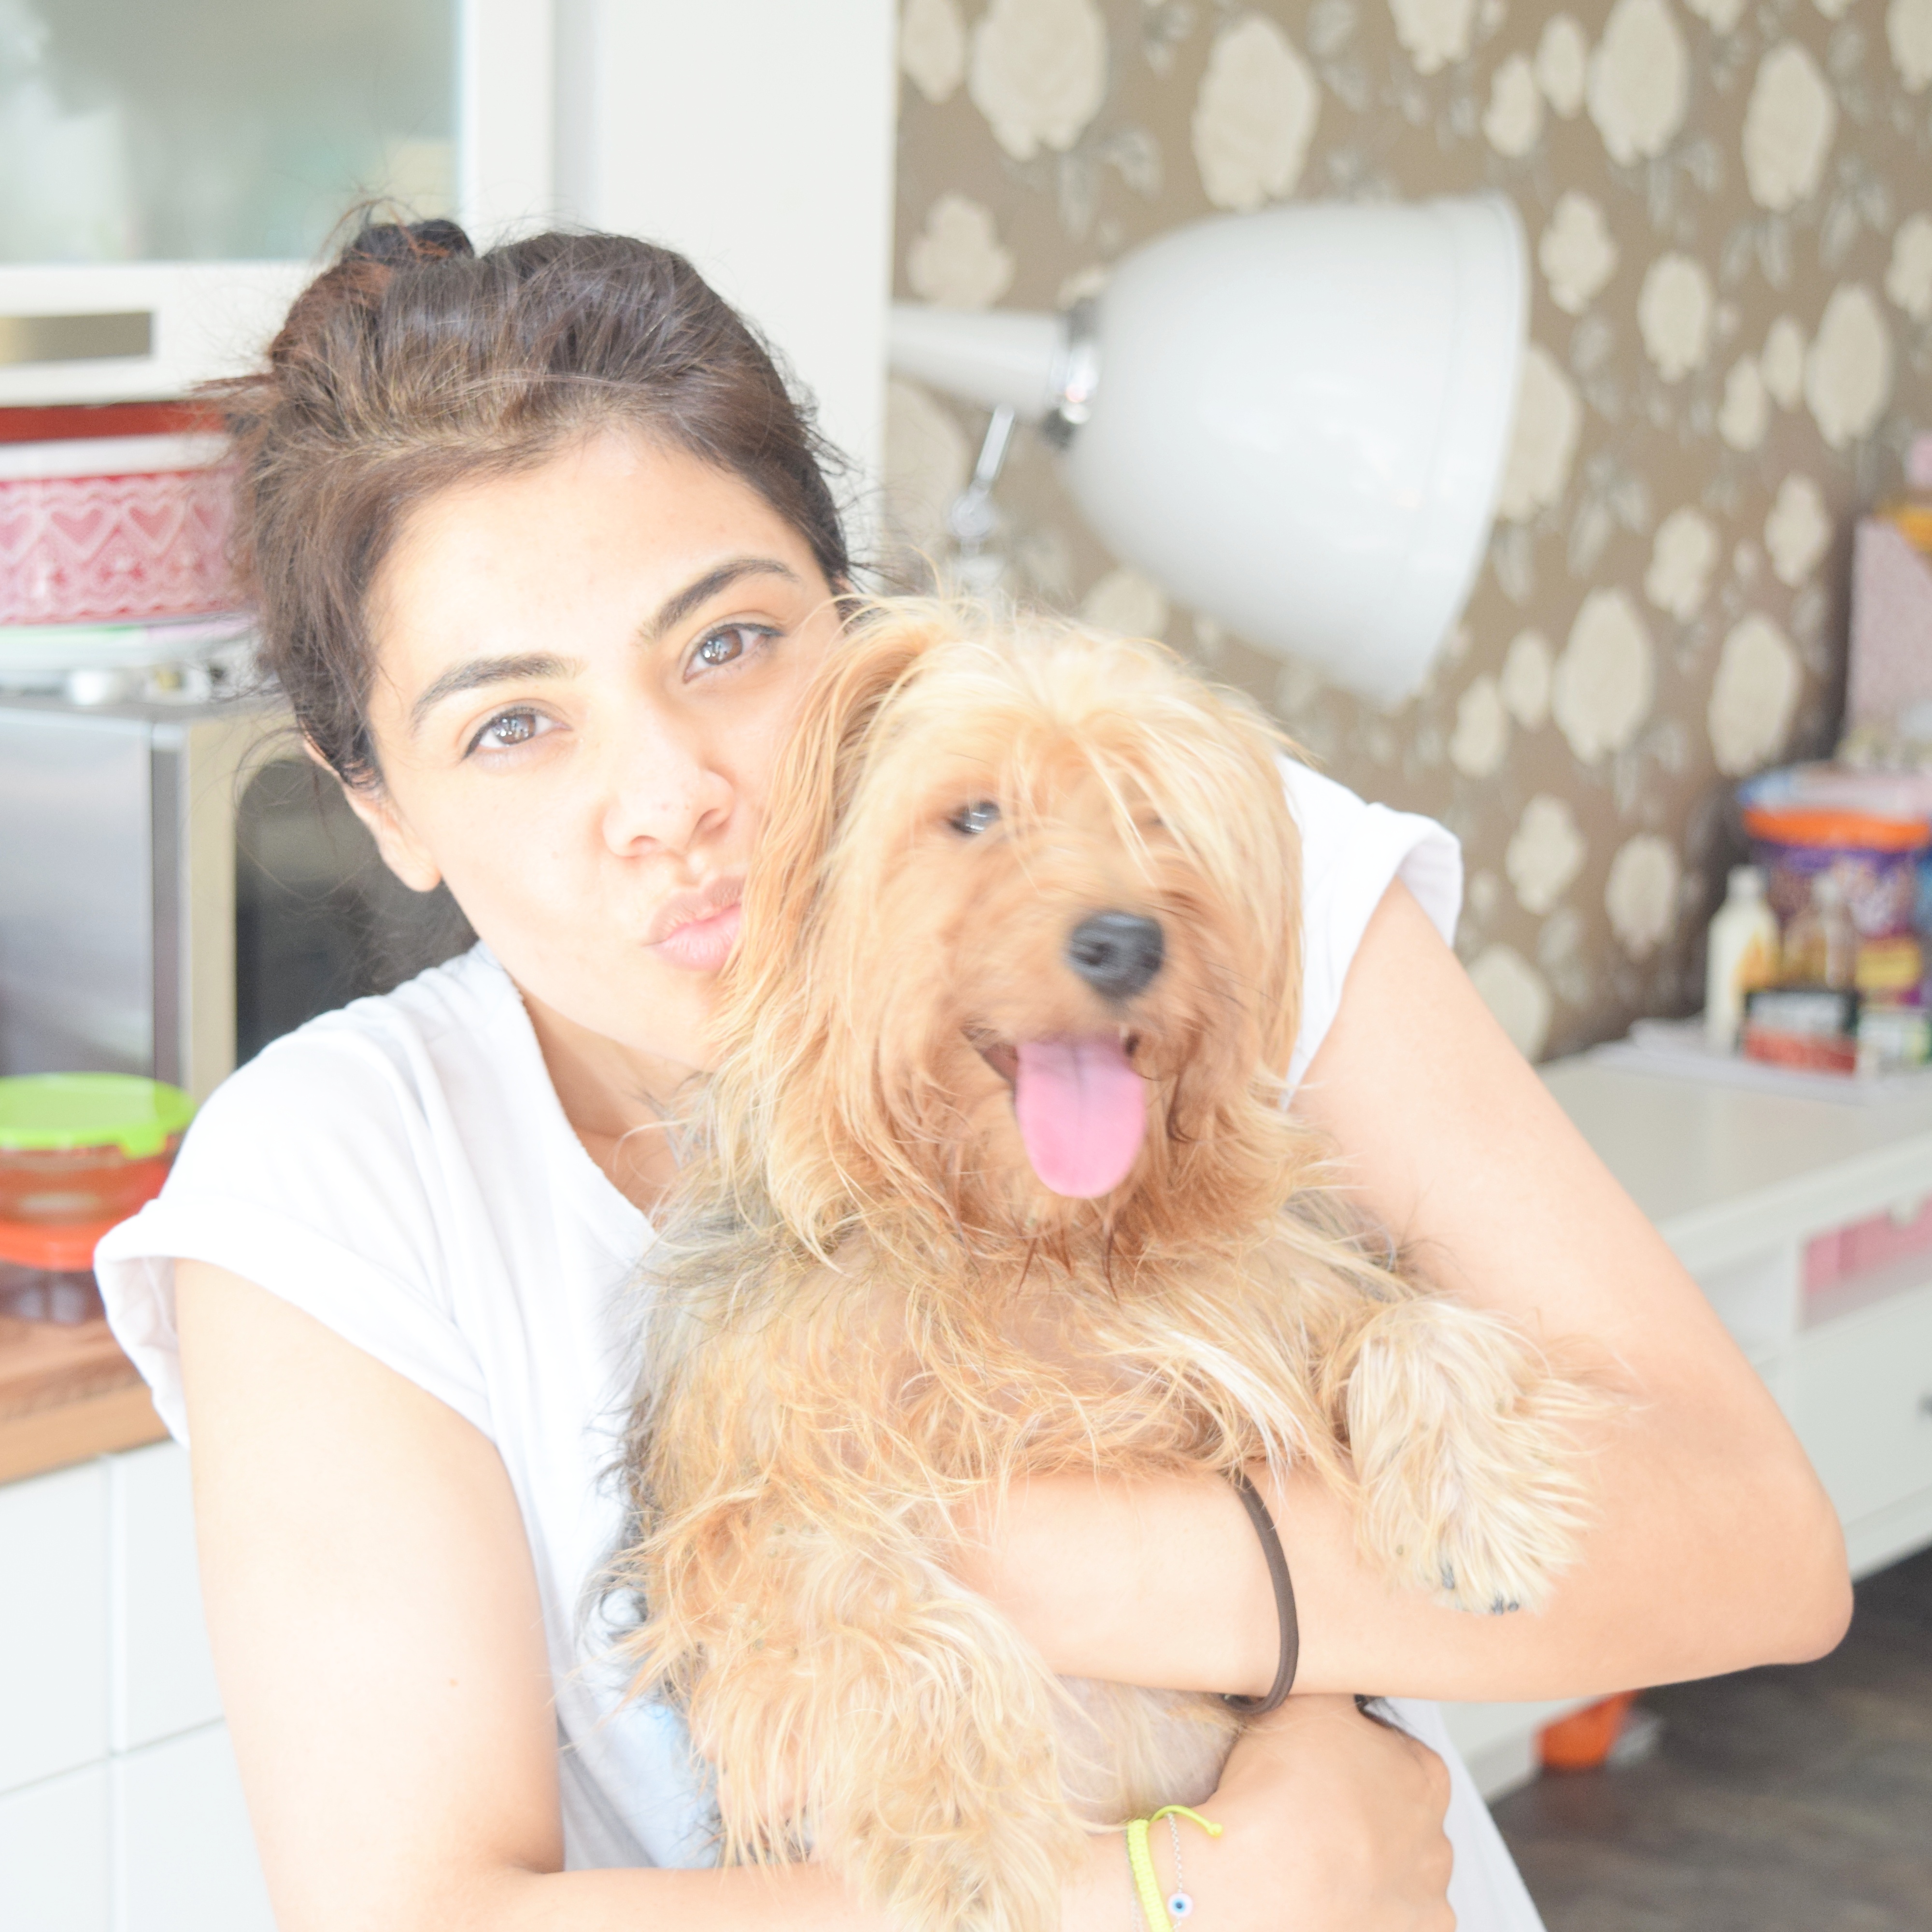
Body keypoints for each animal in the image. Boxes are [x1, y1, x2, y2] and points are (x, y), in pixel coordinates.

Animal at [616, 601, 1595, 1932]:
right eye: (974, 814)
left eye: (1154, 815)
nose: (1126, 939)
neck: (1030, 1241)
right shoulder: (736, 1498)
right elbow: (851, 1583)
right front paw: (960, 1839)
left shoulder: (1299, 1285)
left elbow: (1420, 1324)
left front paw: (1469, 1506)